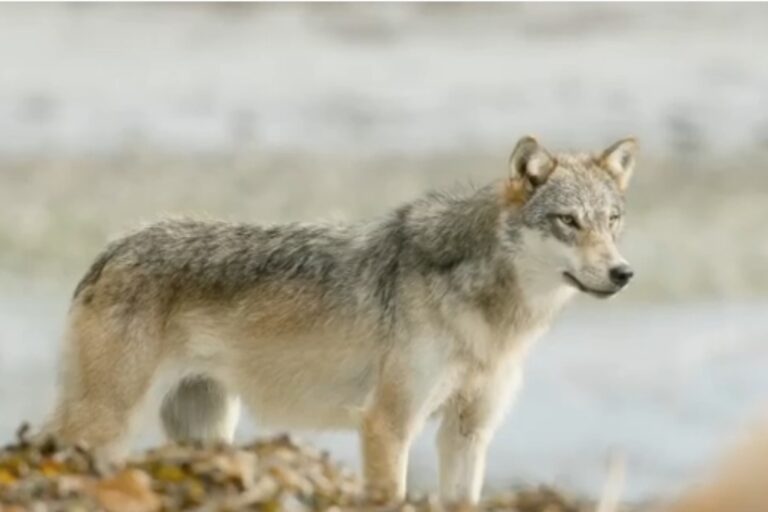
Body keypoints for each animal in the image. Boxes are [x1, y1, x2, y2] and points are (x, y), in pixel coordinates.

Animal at [45, 136, 636, 504]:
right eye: (567, 221)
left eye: (612, 221)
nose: (623, 272)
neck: (490, 317)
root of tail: (111, 250)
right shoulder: (386, 426)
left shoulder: (468, 433)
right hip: (106, 429)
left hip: (206, 433)